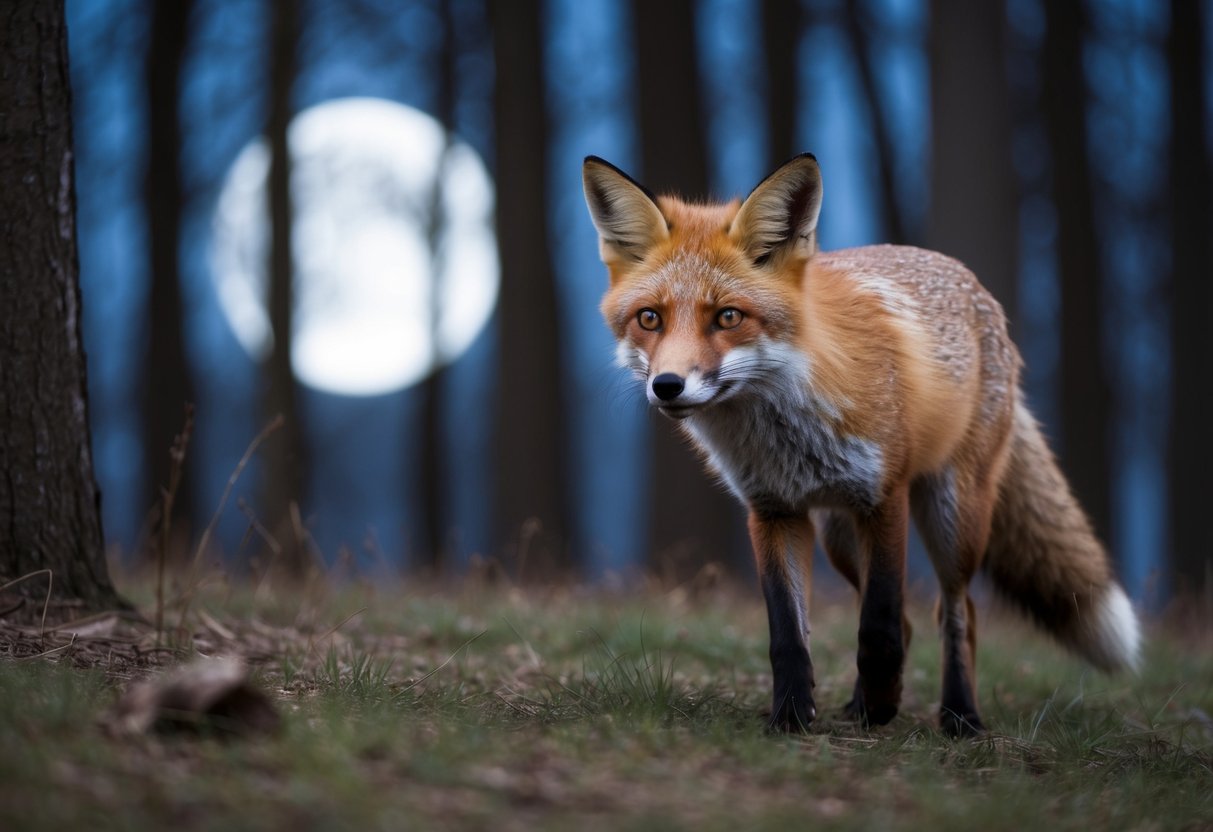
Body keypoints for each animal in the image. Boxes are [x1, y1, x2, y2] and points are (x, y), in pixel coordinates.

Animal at [581, 152, 1141, 737]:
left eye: (728, 316)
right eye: (650, 318)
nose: (667, 386)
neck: (789, 428)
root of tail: (973, 283)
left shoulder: (884, 497)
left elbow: (878, 627)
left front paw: (882, 705)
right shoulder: (772, 512)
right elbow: (789, 635)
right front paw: (792, 717)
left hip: (953, 518)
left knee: (956, 613)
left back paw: (959, 715)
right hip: (839, 537)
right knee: (912, 622)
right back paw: (863, 706)